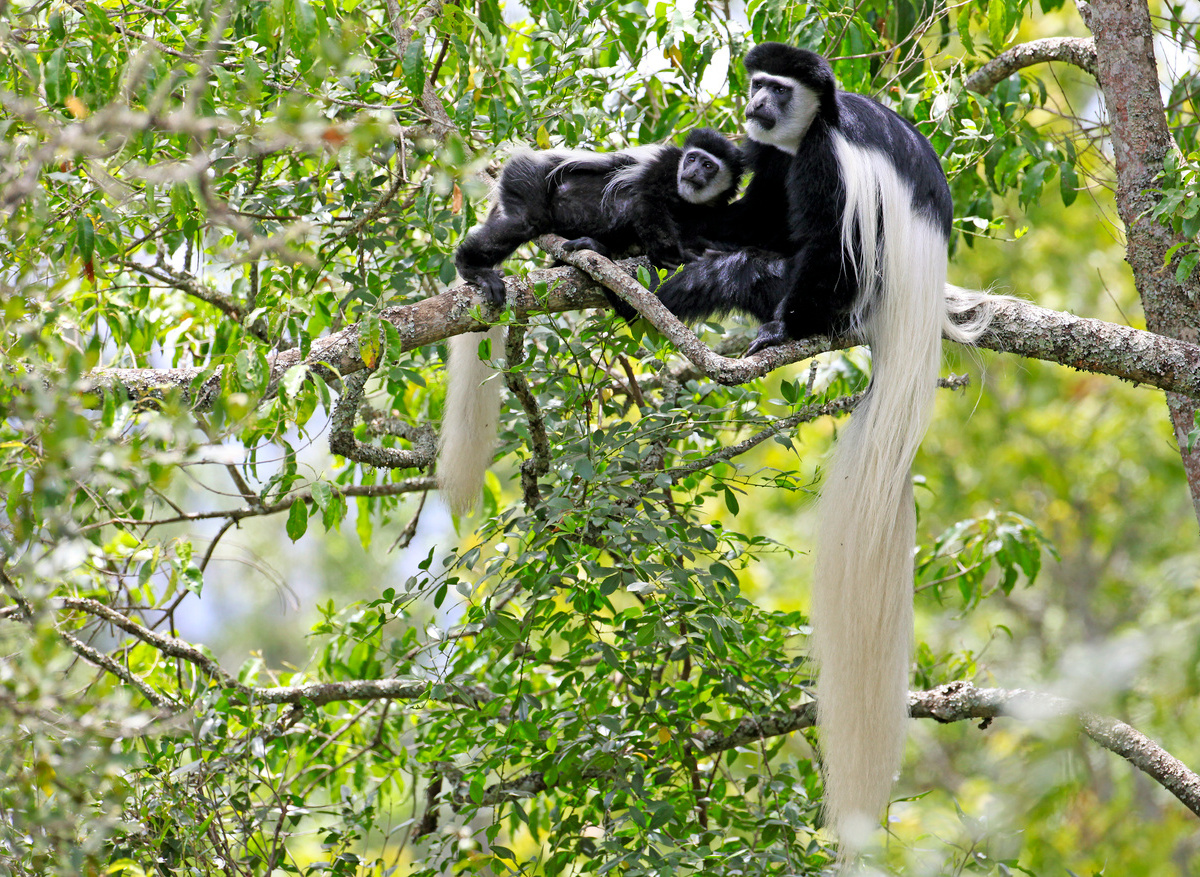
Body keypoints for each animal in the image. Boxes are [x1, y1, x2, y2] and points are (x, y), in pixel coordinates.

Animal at [651, 44, 994, 855]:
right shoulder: (775, 158)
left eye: (775, 88)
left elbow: (818, 237)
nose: (755, 108)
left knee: (798, 262)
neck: (821, 120)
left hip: (855, 285)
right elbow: (760, 207)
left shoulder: (821, 163)